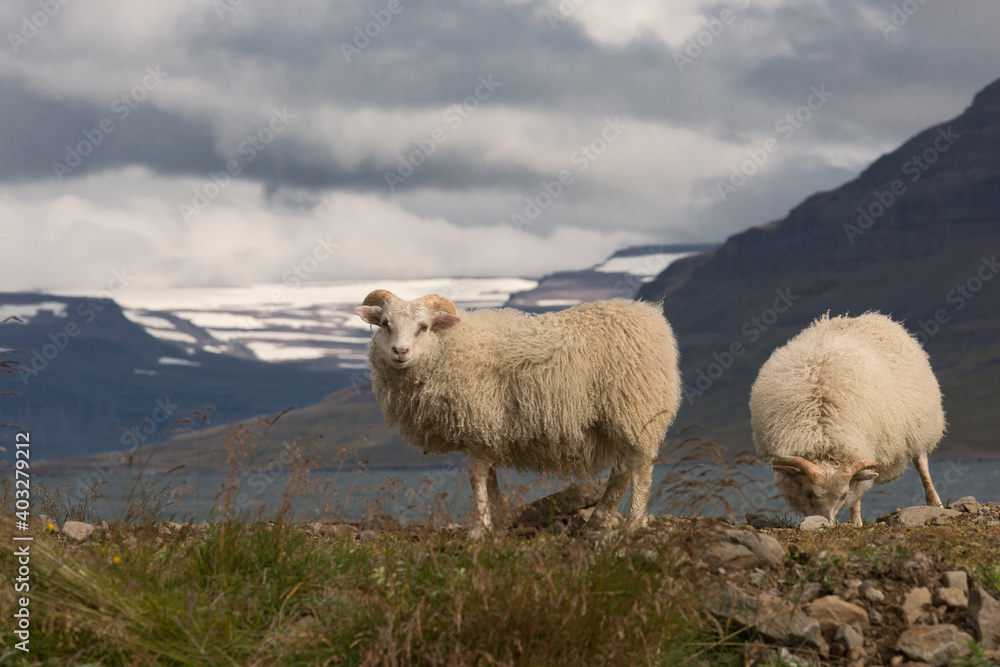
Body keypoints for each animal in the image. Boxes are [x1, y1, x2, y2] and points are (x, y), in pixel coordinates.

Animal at [355, 289, 682, 539]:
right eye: (385, 324)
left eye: (423, 326)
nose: (400, 351)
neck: (447, 347)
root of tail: (652, 317)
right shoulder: (487, 433)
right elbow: (491, 478)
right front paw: (497, 521)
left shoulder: (481, 422)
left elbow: (476, 478)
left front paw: (480, 528)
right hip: (618, 418)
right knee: (621, 470)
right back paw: (597, 521)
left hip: (636, 409)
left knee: (640, 469)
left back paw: (633, 523)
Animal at [749, 312, 944, 526]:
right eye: (808, 494)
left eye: (842, 497)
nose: (825, 524)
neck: (822, 436)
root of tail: (864, 317)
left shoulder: (861, 449)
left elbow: (856, 493)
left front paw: (856, 522)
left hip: (917, 422)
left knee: (921, 462)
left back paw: (935, 503)